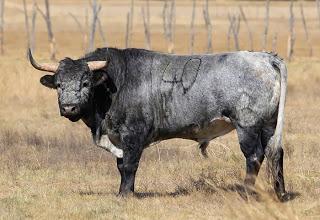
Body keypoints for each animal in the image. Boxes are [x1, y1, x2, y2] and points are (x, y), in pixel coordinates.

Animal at [28, 48, 288, 201]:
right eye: (59, 84)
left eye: (85, 83)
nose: (69, 108)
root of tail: (266, 57)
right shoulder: (119, 138)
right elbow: (121, 165)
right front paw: (125, 192)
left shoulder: (133, 134)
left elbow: (130, 165)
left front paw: (125, 196)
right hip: (269, 125)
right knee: (275, 153)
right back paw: (280, 193)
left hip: (247, 126)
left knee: (254, 156)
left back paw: (246, 194)